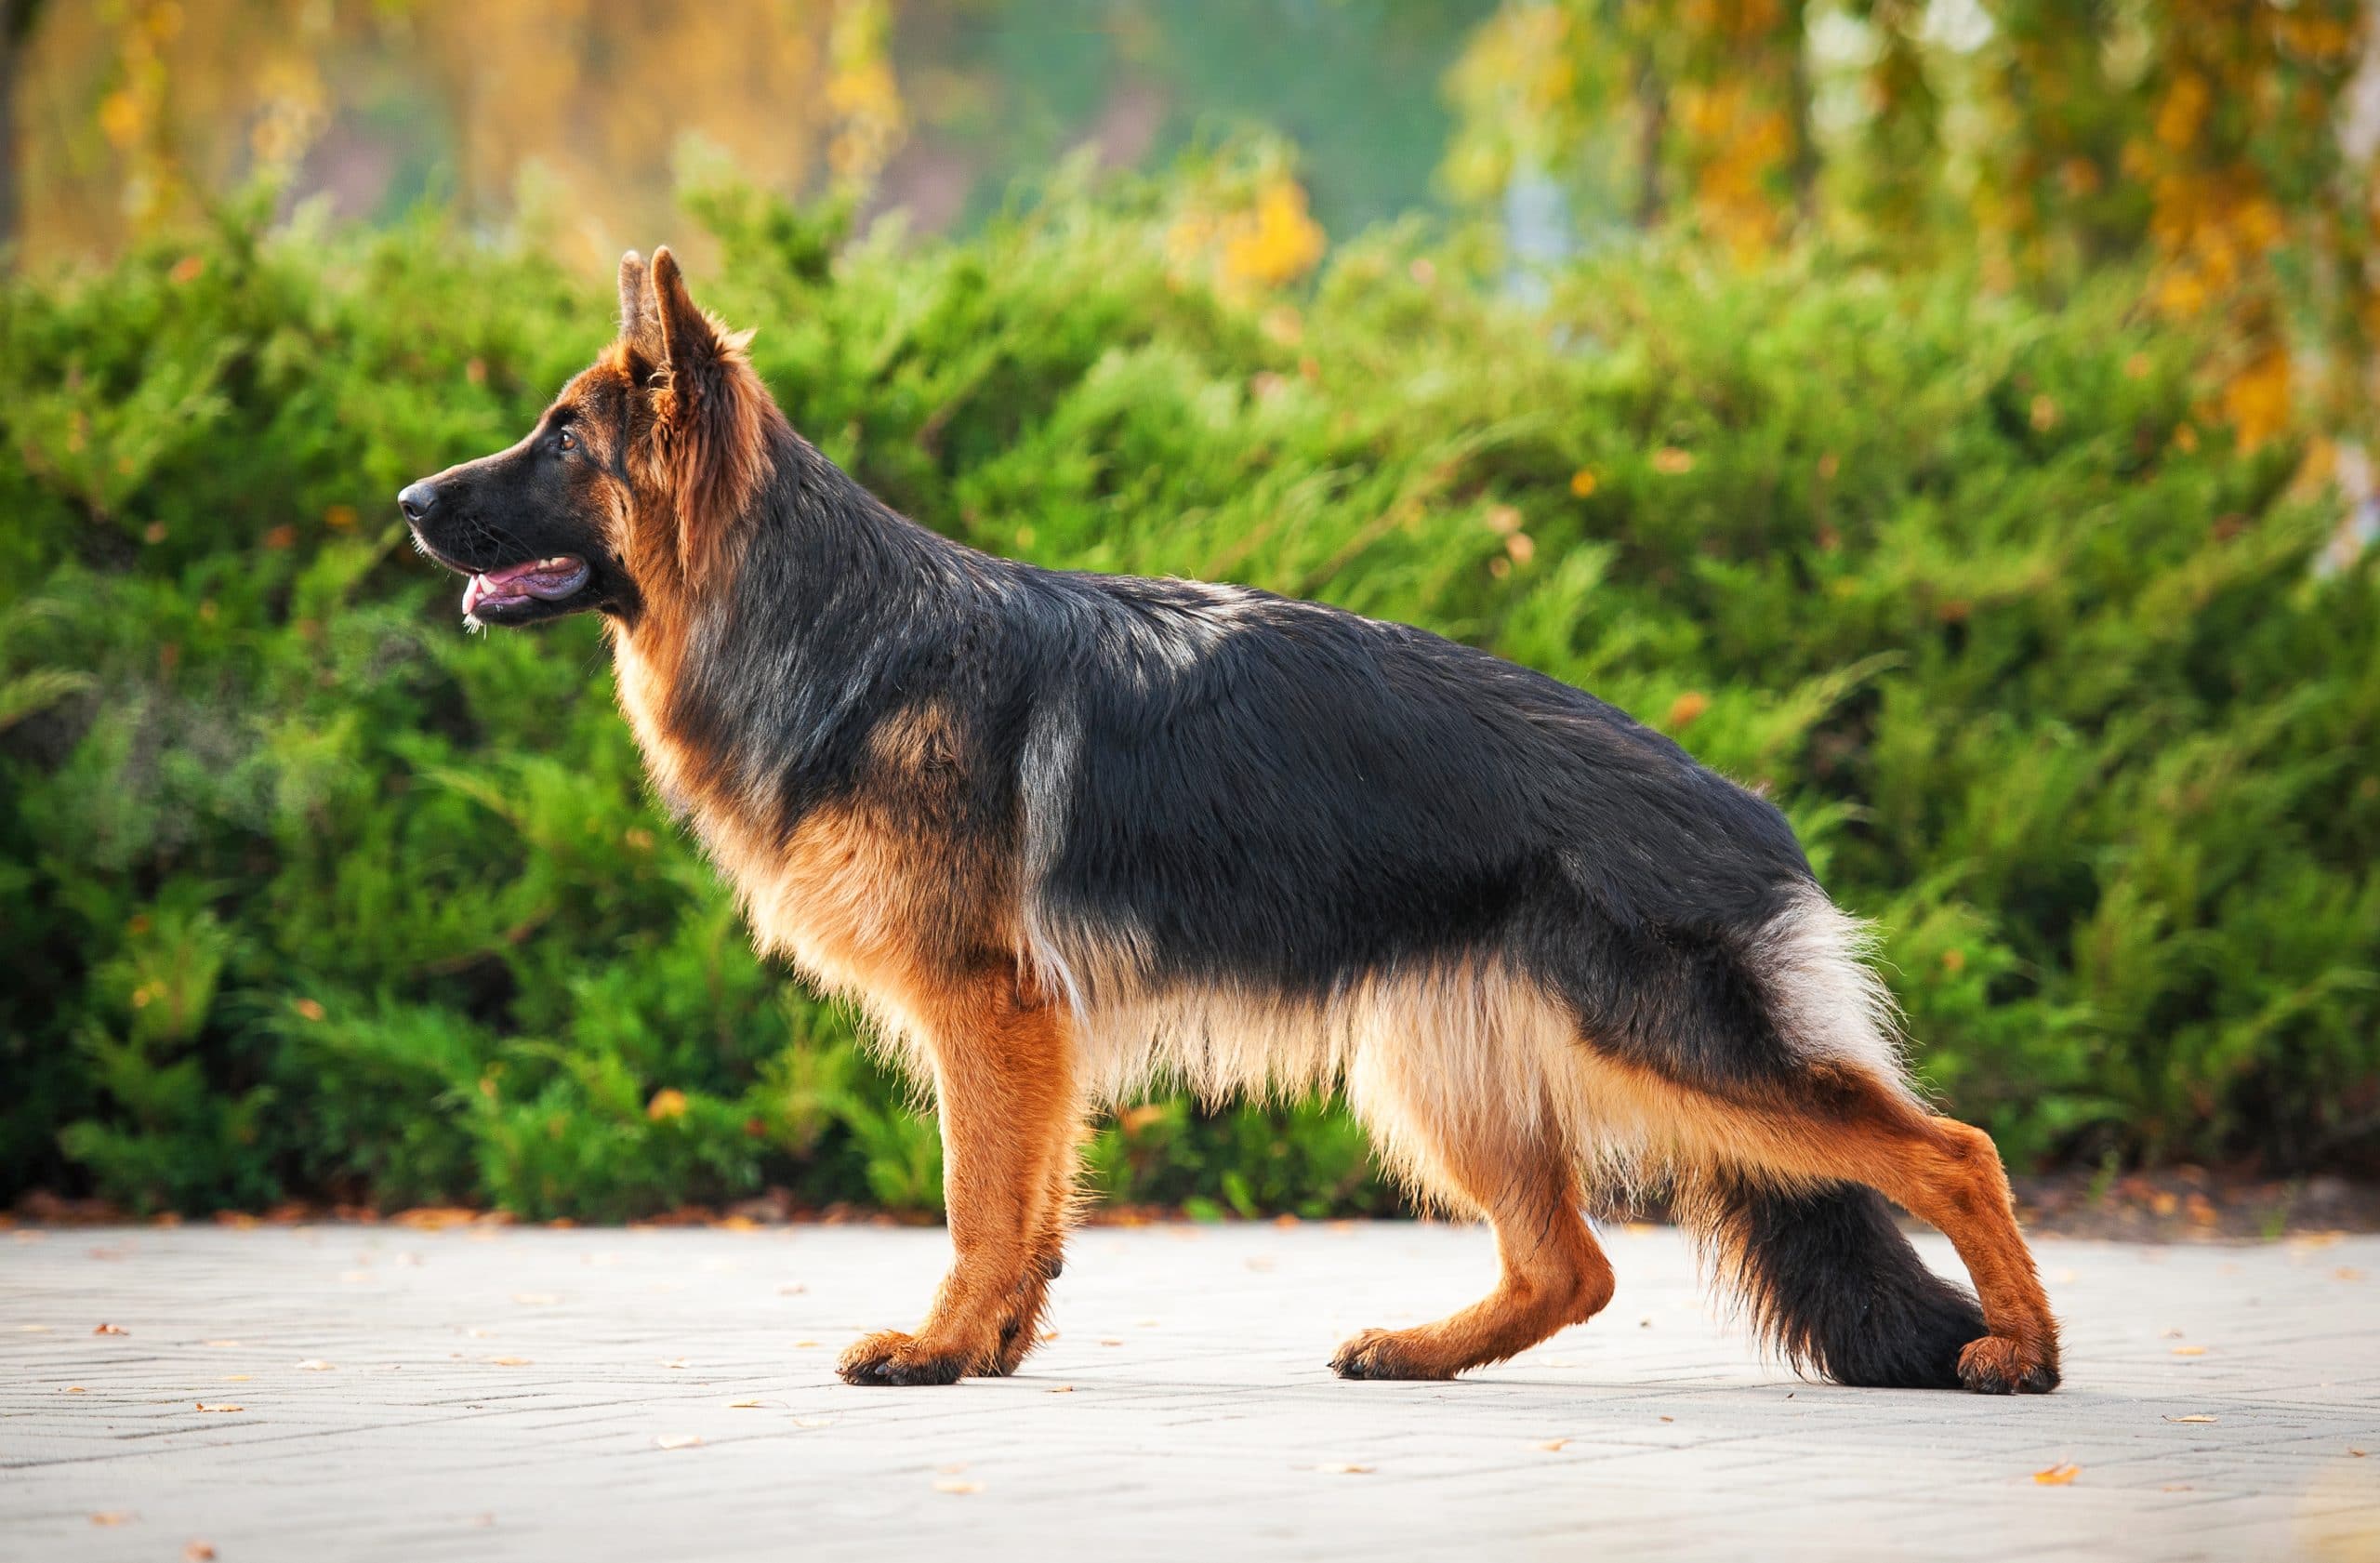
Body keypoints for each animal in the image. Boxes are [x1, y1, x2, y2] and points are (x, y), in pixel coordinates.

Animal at [394, 253, 2066, 1389]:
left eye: (561, 439)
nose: (408, 500)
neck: (839, 630)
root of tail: (1755, 815)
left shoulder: (988, 1013)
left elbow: (977, 1199)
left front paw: (941, 1349)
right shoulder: (1026, 1034)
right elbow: (1028, 1209)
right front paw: (993, 1347)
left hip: (1663, 1051)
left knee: (1955, 1151)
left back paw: (2022, 1350)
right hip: (1434, 1066)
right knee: (1573, 1264)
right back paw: (1417, 1348)